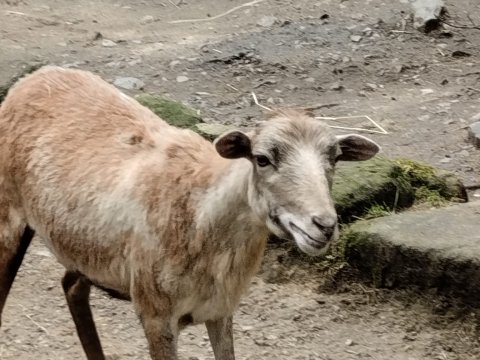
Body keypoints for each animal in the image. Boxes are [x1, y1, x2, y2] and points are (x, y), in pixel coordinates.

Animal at [0, 66, 378, 358]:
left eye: (335, 158)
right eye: (262, 159)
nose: (324, 225)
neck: (203, 216)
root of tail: (35, 77)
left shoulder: (220, 311)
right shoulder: (156, 317)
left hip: (86, 247)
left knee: (72, 287)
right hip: (8, 221)